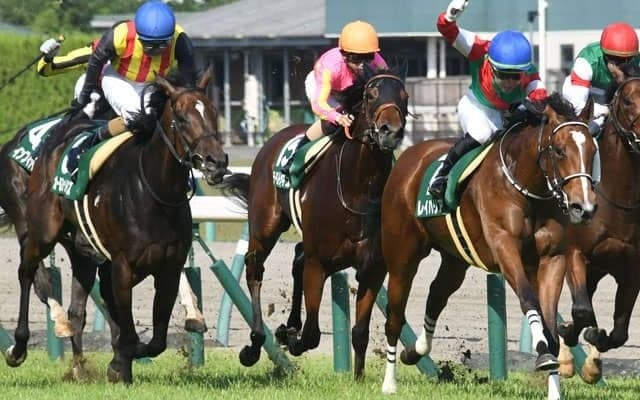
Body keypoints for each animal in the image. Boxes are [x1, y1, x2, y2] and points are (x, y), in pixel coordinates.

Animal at [5, 67, 228, 384]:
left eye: (213, 113)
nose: (216, 162)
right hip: (40, 231)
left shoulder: (169, 268)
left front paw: (122, 362)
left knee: (78, 306)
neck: (154, 192)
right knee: (28, 273)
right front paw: (120, 364)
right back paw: (19, 347)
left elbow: (156, 339)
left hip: (81, 250)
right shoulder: (122, 266)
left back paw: (79, 366)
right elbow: (128, 329)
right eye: (182, 118)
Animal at [220, 66, 409, 379]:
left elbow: (360, 332)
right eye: (371, 95)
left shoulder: (373, 268)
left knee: (297, 257)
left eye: (404, 96)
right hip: (265, 226)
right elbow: (311, 334)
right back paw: (255, 344)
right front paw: (289, 337)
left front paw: (358, 379)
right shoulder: (318, 263)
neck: (357, 189)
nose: (390, 131)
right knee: (254, 267)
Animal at [378, 93, 599, 394]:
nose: (583, 207)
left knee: (437, 294)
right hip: (402, 255)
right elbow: (529, 300)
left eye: (592, 151)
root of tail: (408, 156)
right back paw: (389, 383)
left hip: (454, 259)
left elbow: (551, 325)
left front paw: (553, 380)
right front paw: (542, 354)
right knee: (394, 315)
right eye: (560, 150)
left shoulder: (552, 259)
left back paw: (415, 350)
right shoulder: (505, 248)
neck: (526, 188)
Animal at [558, 63, 640, 383]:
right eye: (627, 101)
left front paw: (595, 351)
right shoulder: (575, 254)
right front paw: (571, 340)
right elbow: (581, 311)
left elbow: (619, 331)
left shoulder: (631, 267)